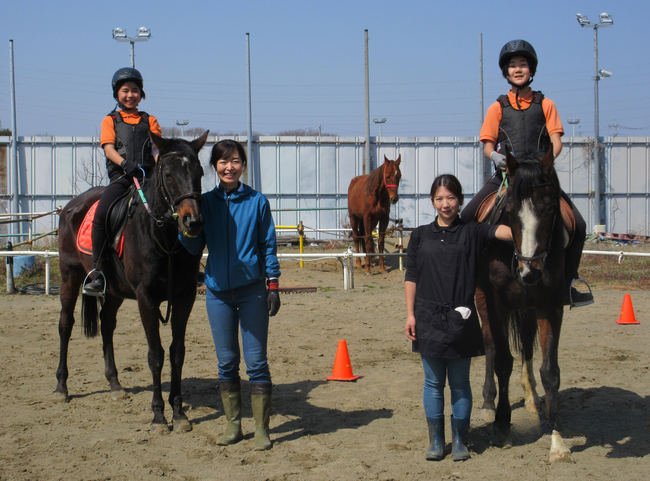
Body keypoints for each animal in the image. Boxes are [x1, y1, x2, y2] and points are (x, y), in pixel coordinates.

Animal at [55, 132, 209, 436]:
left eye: (199, 173)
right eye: (169, 175)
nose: (193, 222)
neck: (164, 236)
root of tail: (71, 206)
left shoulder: (185, 297)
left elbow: (177, 352)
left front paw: (179, 413)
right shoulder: (145, 298)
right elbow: (155, 354)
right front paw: (159, 417)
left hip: (113, 289)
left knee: (106, 323)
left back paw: (115, 384)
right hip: (69, 274)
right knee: (65, 324)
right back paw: (61, 387)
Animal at [474, 146, 564, 450]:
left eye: (549, 209)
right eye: (511, 211)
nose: (529, 271)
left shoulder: (551, 303)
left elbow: (549, 369)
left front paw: (551, 424)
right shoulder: (498, 303)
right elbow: (502, 361)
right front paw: (502, 424)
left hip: (528, 308)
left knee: (525, 342)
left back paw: (532, 399)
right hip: (484, 301)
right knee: (490, 345)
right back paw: (488, 402)